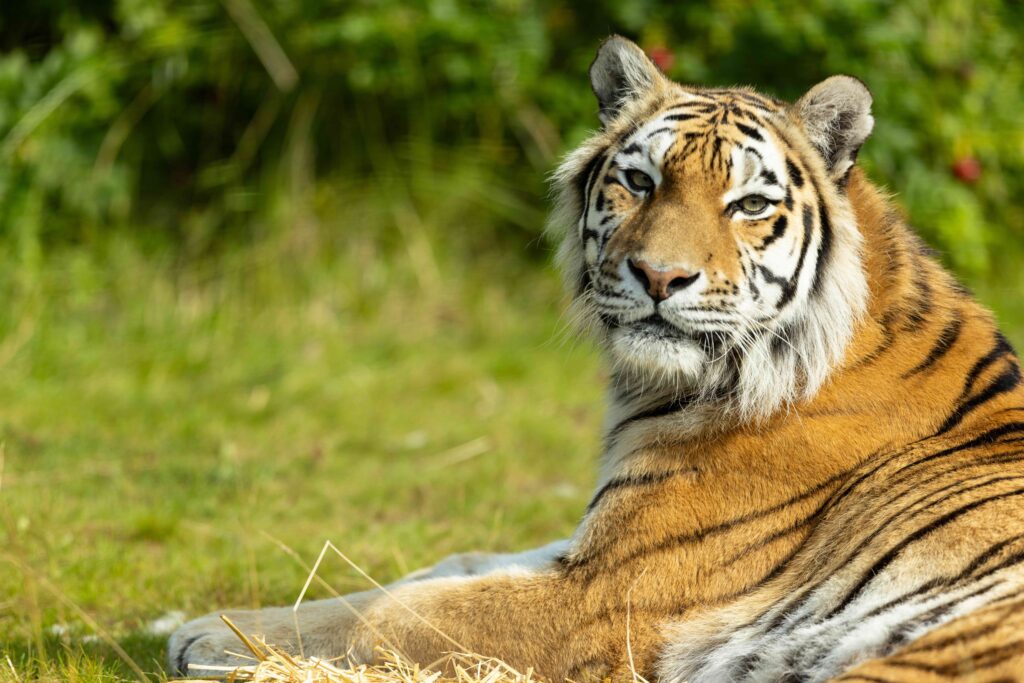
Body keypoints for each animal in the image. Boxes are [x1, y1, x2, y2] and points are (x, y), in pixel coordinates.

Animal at [169, 35, 1024, 682]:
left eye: (749, 204)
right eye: (640, 181)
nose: (659, 276)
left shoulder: (606, 592)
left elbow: (399, 611)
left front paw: (213, 638)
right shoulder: (591, 545)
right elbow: (444, 563)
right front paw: (199, 620)